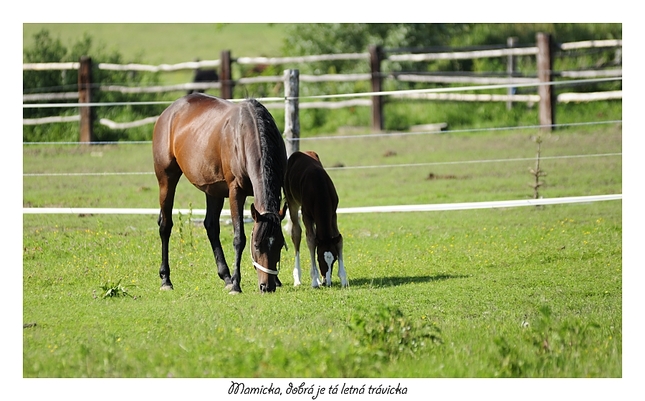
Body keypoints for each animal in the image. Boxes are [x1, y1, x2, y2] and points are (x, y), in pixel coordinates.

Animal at [152, 94, 286, 294]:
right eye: (256, 245)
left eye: (280, 245)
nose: (266, 286)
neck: (246, 135)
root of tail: (168, 112)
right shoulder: (235, 192)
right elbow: (239, 238)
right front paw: (237, 285)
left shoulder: (276, 190)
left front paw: (276, 280)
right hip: (166, 180)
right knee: (165, 226)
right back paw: (166, 280)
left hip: (213, 190)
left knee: (211, 226)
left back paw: (226, 277)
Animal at [284, 151, 348, 288]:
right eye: (319, 259)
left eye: (334, 259)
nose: (327, 282)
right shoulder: (306, 215)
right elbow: (311, 241)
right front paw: (314, 281)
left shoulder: (333, 213)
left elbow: (339, 238)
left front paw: (343, 278)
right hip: (292, 203)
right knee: (296, 233)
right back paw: (298, 279)